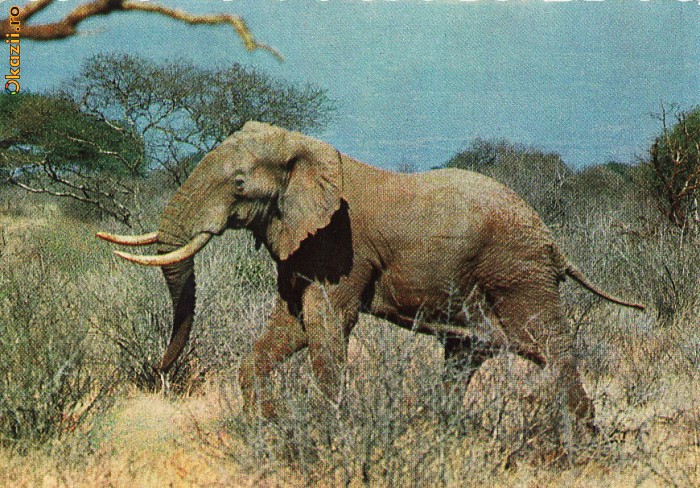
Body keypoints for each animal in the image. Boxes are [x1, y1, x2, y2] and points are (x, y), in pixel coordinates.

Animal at [97, 121, 644, 426]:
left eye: (237, 183)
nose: (158, 372)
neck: (305, 150)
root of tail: (554, 243)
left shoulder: (339, 246)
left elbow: (326, 326)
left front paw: (324, 431)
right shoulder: (302, 245)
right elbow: (290, 326)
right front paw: (267, 428)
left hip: (517, 273)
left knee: (549, 348)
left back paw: (580, 445)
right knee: (468, 353)